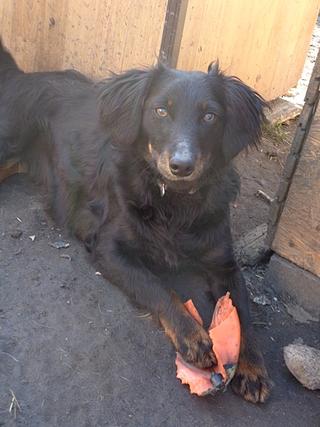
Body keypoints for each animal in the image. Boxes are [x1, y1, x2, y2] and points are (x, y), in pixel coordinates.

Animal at [0, 41, 272, 404]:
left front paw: (253, 367)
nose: (181, 166)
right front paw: (192, 335)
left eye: (210, 116)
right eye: (161, 111)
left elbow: (244, 312)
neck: (175, 202)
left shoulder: (224, 263)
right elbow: (158, 287)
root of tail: (21, 76)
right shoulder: (108, 248)